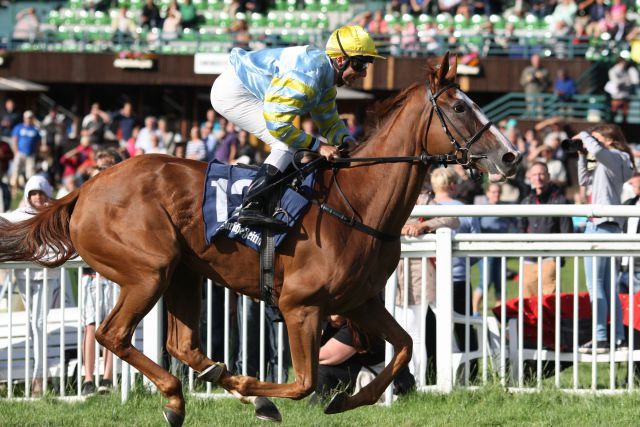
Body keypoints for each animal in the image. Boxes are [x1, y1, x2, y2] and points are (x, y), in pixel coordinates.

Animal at [0, 55, 520, 426]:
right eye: (459, 107)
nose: (510, 156)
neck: (357, 202)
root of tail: (86, 187)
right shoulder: (300, 305)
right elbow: (304, 382)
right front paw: (260, 393)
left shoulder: (359, 301)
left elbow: (405, 346)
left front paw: (348, 401)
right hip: (148, 271)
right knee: (112, 334)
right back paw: (189, 393)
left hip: (184, 273)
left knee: (181, 345)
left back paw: (202, 386)